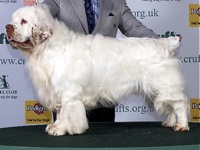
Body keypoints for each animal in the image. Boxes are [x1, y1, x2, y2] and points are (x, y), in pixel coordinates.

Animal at [5, 4, 189, 136]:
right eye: (13, 20)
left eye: (24, 21)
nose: (7, 27)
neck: (47, 47)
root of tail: (165, 44)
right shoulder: (56, 91)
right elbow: (61, 111)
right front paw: (55, 126)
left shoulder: (68, 92)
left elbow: (66, 112)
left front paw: (61, 129)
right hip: (157, 90)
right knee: (170, 106)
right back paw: (170, 123)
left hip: (165, 85)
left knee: (179, 104)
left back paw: (181, 125)